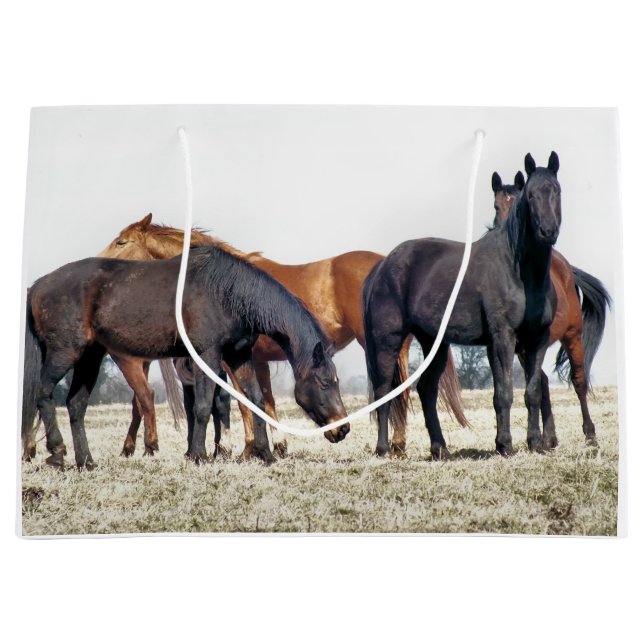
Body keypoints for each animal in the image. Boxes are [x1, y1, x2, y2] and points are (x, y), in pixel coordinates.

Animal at [22, 245, 350, 469]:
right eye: (324, 383)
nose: (342, 428)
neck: (227, 292)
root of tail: (37, 286)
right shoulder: (208, 355)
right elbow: (204, 406)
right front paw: (198, 455)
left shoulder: (239, 357)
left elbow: (254, 400)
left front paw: (265, 454)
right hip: (65, 352)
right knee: (44, 394)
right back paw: (57, 452)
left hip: (90, 357)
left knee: (75, 406)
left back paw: (86, 461)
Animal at [98, 215, 468, 458]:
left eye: (121, 242)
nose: (99, 263)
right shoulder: (256, 360)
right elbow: (264, 401)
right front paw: (272, 446)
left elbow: (241, 403)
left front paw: (244, 449)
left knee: (397, 391)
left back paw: (395, 445)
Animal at [363, 152, 562, 459]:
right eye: (530, 196)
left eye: (556, 191)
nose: (548, 231)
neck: (518, 270)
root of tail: (382, 266)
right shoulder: (503, 338)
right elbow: (504, 393)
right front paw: (506, 445)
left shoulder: (536, 340)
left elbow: (532, 392)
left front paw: (535, 444)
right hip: (388, 341)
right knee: (385, 391)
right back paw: (383, 449)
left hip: (434, 342)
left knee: (427, 390)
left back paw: (440, 448)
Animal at [491, 170, 611, 446]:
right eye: (496, 206)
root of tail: (566, 268)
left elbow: (535, 386)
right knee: (543, 381)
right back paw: (550, 436)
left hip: (572, 336)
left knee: (578, 380)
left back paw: (589, 433)